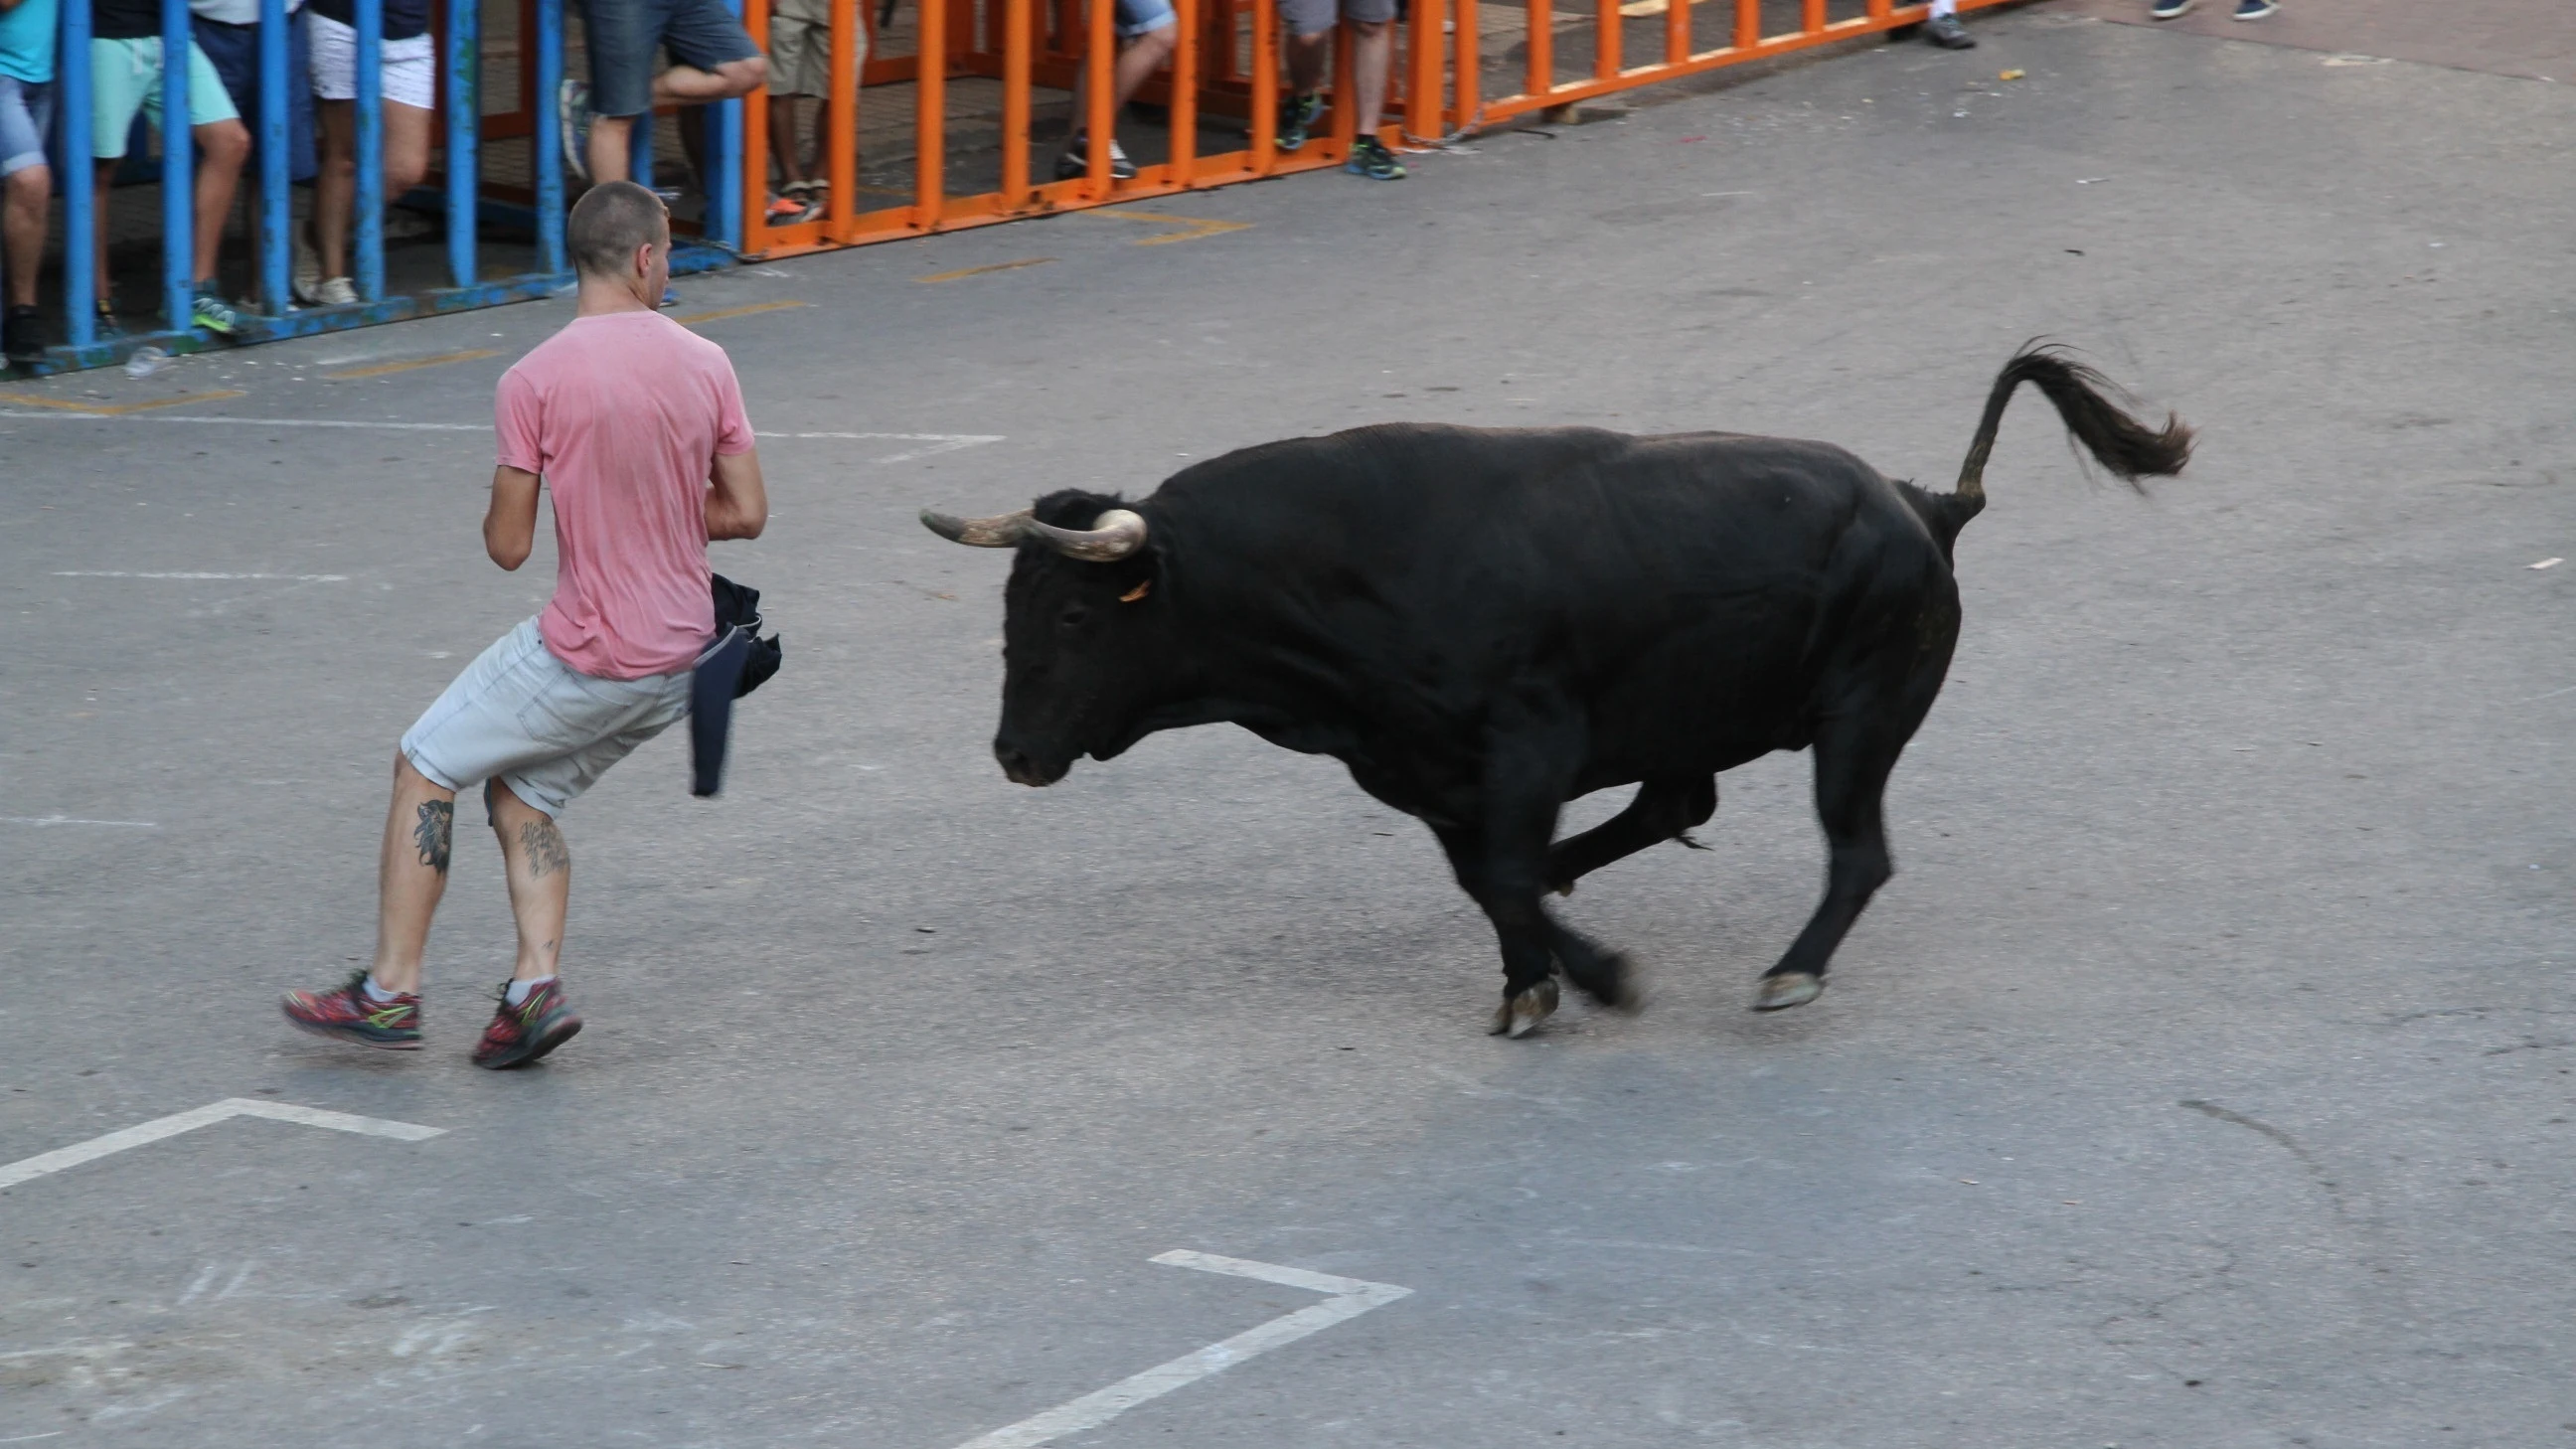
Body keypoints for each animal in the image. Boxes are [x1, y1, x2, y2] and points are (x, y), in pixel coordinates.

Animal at [916, 345, 2184, 1031]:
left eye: (1073, 615)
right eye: (1011, 612)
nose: (1015, 754)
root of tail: (1923, 505)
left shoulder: (1525, 746)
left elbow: (1509, 875)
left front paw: (1600, 977)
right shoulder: (1425, 772)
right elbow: (1493, 879)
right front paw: (1536, 983)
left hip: (1859, 722)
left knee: (1855, 854)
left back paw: (1790, 973)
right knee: (1672, 807)